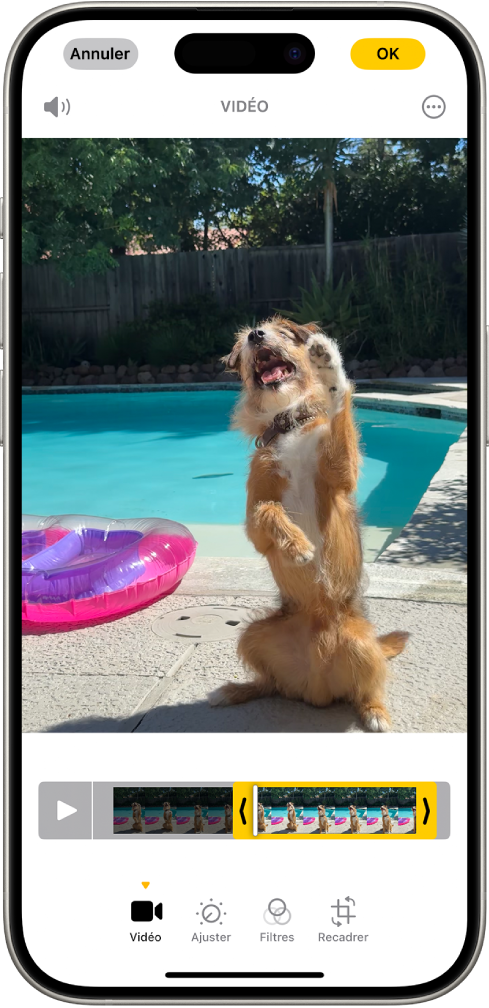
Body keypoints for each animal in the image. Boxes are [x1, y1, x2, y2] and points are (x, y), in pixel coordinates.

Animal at [206, 316, 407, 733]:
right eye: (244, 343)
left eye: (281, 332)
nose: (256, 336)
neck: (288, 423)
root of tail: (316, 689)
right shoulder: (256, 518)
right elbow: (268, 512)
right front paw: (297, 546)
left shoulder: (340, 476)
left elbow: (338, 413)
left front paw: (330, 370)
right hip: (253, 635)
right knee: (269, 683)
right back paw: (233, 691)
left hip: (363, 645)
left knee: (368, 687)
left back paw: (375, 713)